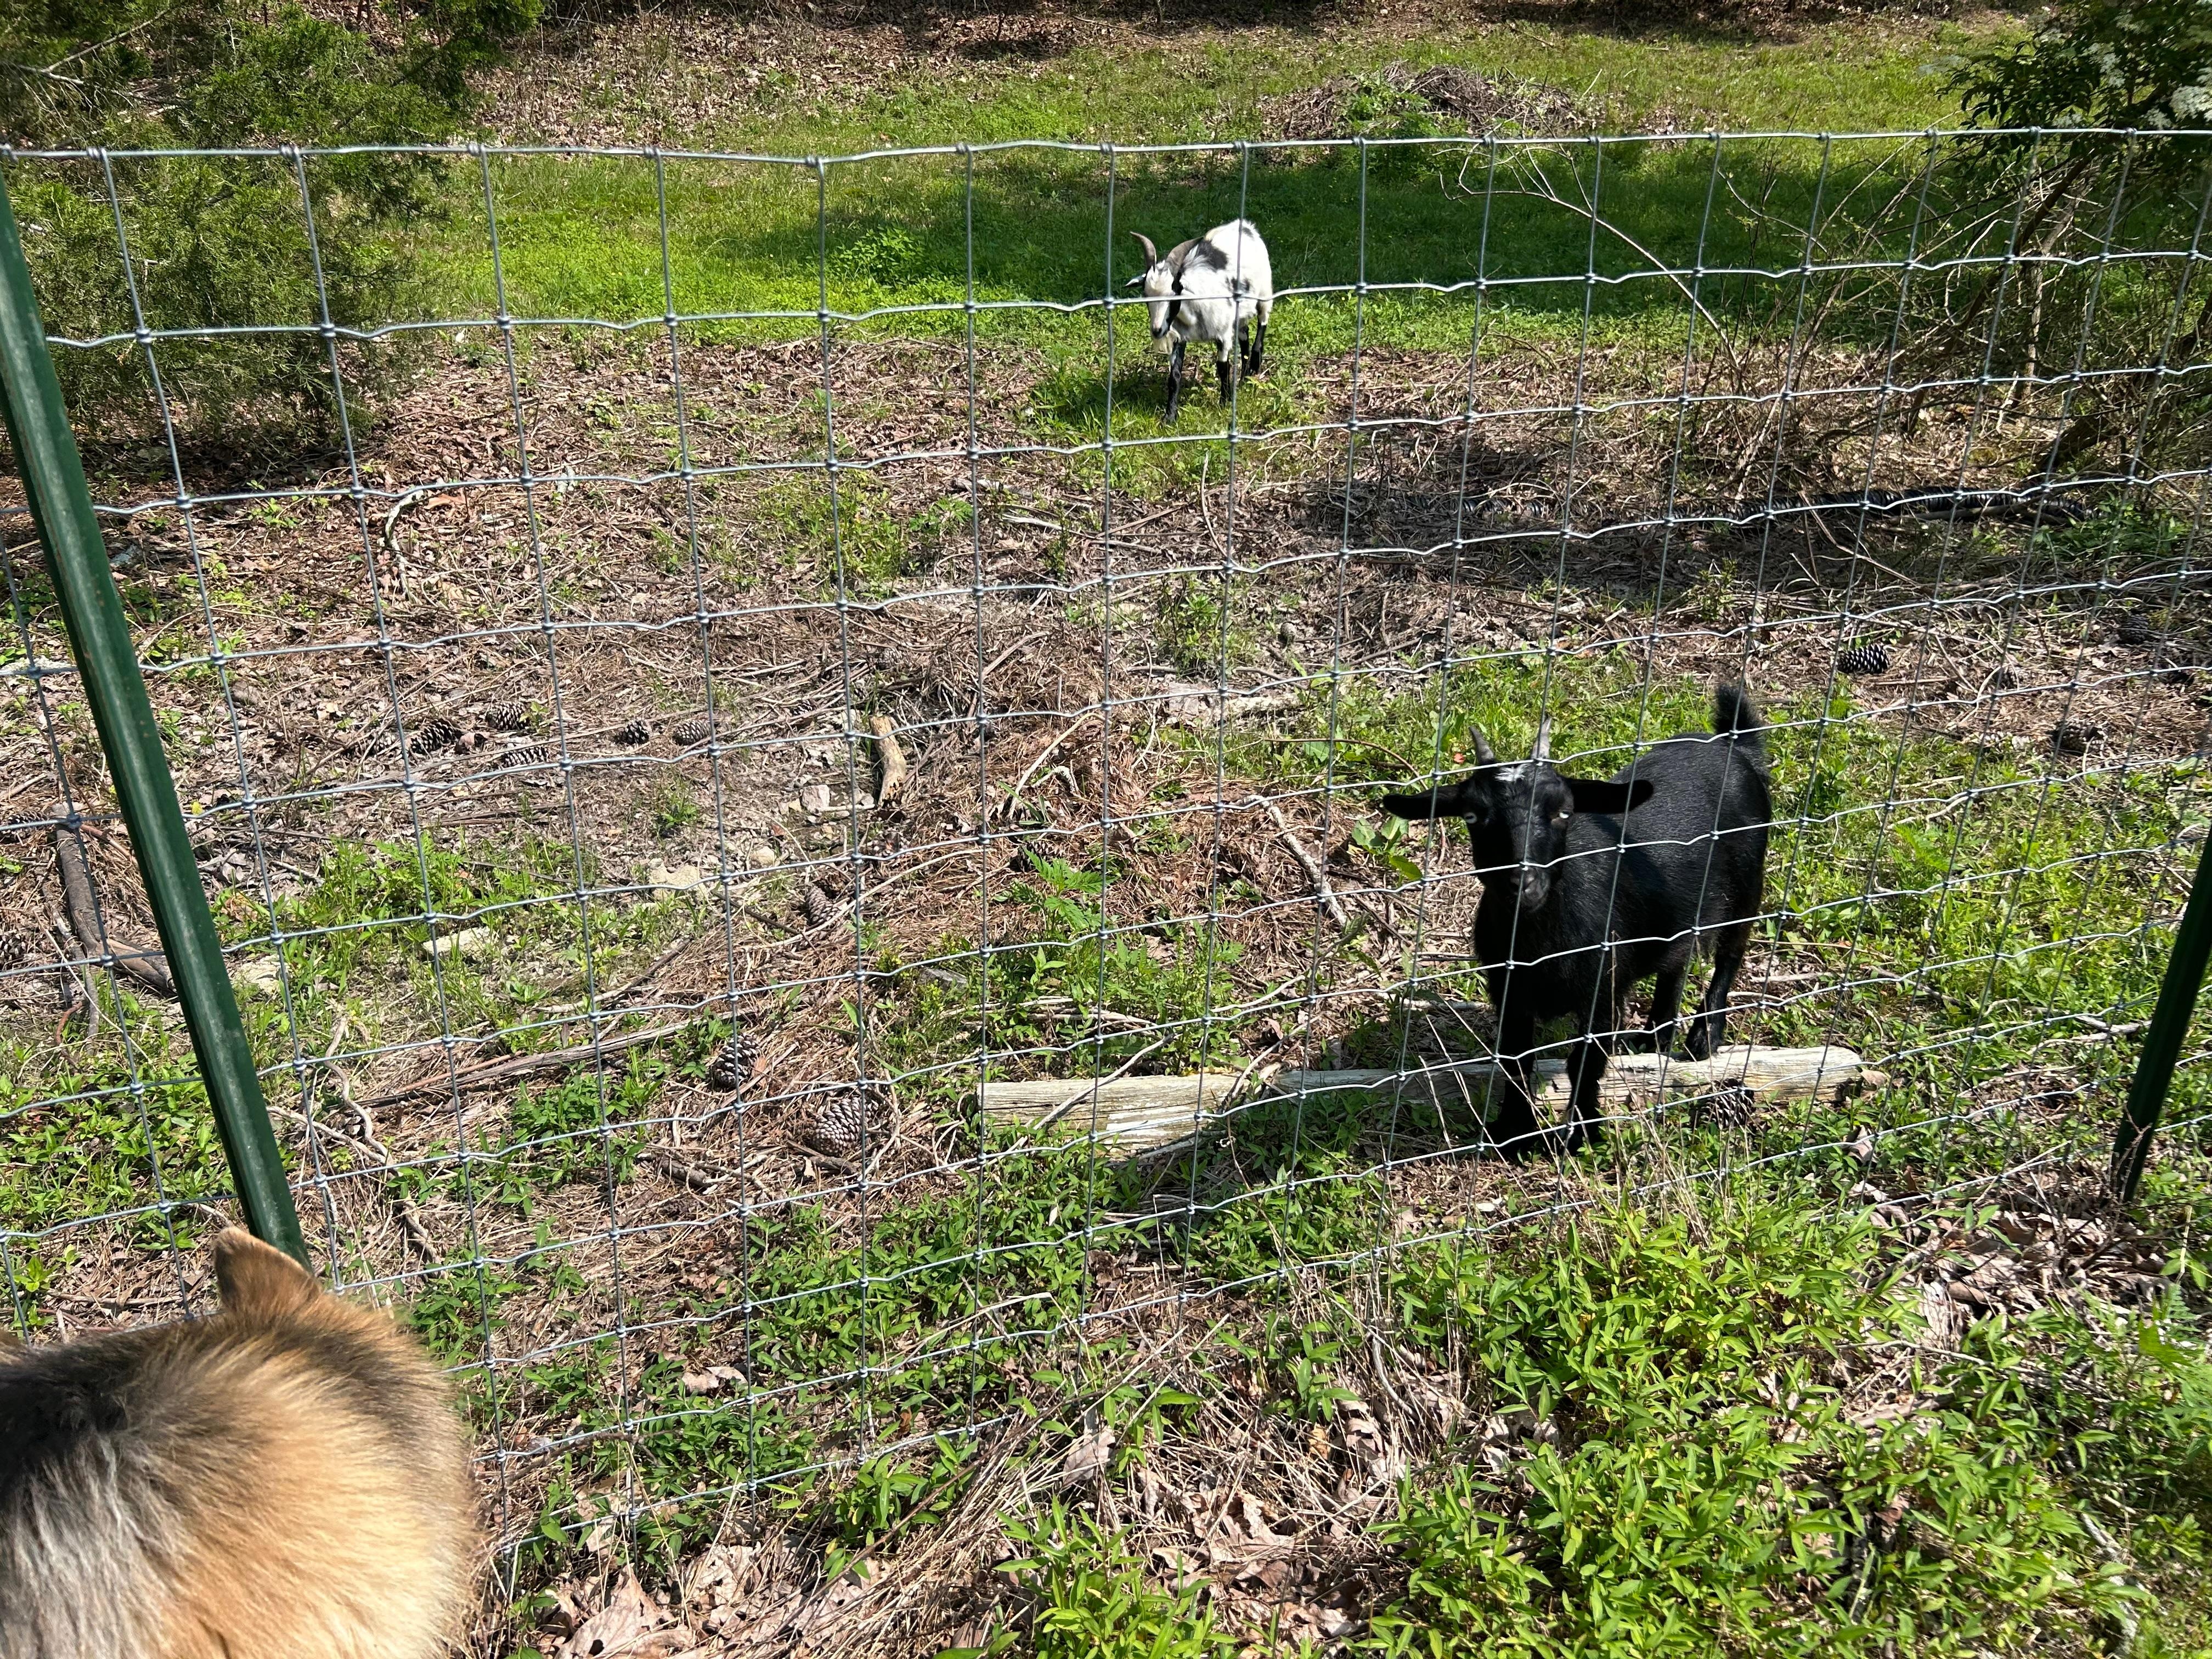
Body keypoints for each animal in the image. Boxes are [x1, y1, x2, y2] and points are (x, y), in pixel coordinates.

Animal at [1126, 219, 1273, 422]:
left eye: (1175, 292)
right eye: (1146, 295)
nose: (1157, 331)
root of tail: (1244, 225)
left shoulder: (1223, 334)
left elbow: (1223, 367)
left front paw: (1224, 402)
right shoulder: (1179, 336)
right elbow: (1175, 375)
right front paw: (1170, 416)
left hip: (1264, 294)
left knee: (1262, 324)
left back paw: (1255, 364)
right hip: (1240, 312)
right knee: (1244, 336)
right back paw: (1244, 380)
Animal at [1379, 683, 1771, 1156]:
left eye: (1563, 811)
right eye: (1472, 815)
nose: (1522, 883)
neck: (1540, 946)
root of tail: (1733, 745)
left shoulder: (1602, 988)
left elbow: (1585, 1061)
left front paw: (1581, 1133)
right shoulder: (1507, 989)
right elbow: (1514, 1058)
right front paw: (1513, 1131)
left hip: (1749, 879)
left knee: (1731, 953)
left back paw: (1704, 1037)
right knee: (1676, 960)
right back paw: (1655, 1037)